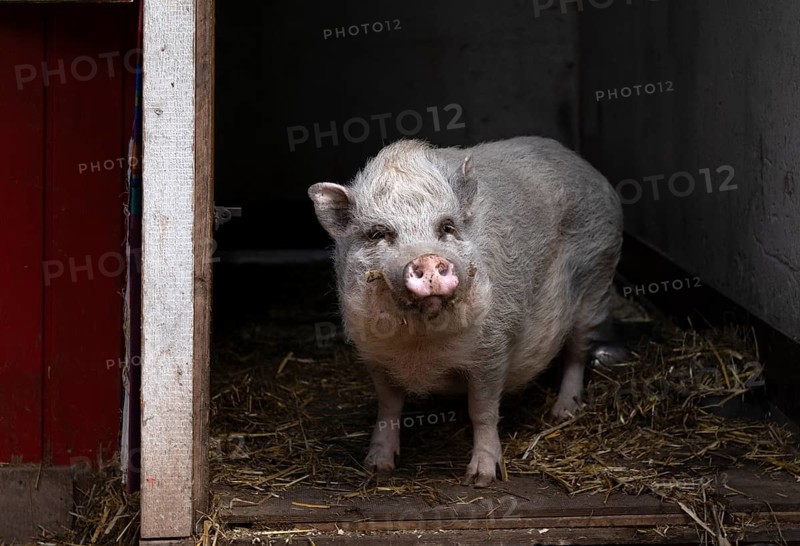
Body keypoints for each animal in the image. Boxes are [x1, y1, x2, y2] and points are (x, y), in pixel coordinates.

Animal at [308, 137, 623, 487]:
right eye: (379, 233)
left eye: (447, 227)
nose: (428, 258)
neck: (422, 344)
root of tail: (588, 169)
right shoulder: (374, 355)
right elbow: (389, 408)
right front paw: (377, 467)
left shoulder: (494, 348)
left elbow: (482, 411)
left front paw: (480, 479)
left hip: (596, 283)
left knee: (577, 354)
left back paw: (562, 412)